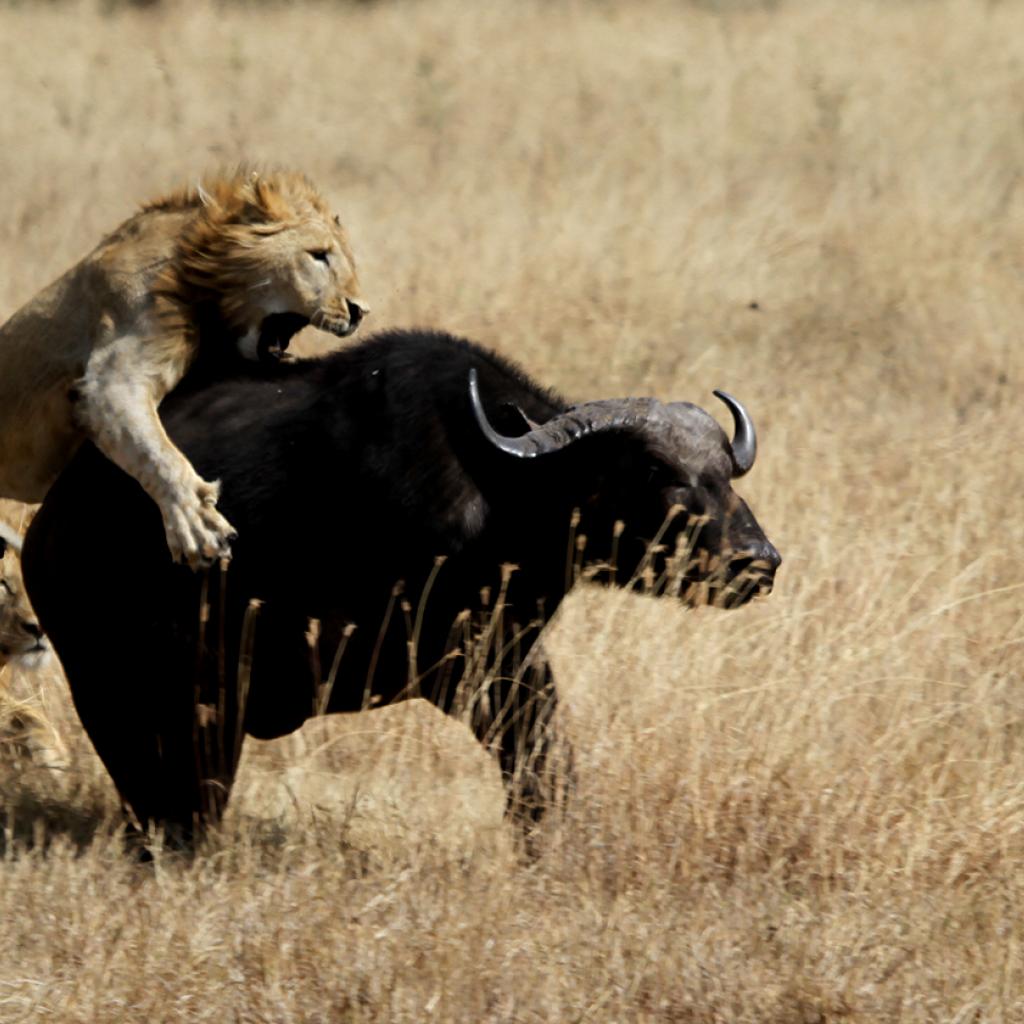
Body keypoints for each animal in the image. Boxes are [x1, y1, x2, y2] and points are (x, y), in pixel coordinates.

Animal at [0, 168, 368, 569]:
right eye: (319, 256)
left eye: (349, 261)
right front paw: (195, 524)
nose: (360, 311)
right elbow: (157, 453)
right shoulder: (110, 378)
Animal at [22, 331, 774, 843]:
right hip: (116, 686)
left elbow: (544, 759)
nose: (757, 560)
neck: (498, 491)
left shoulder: (508, 654)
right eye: (654, 472)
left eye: (724, 472)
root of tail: (48, 528)